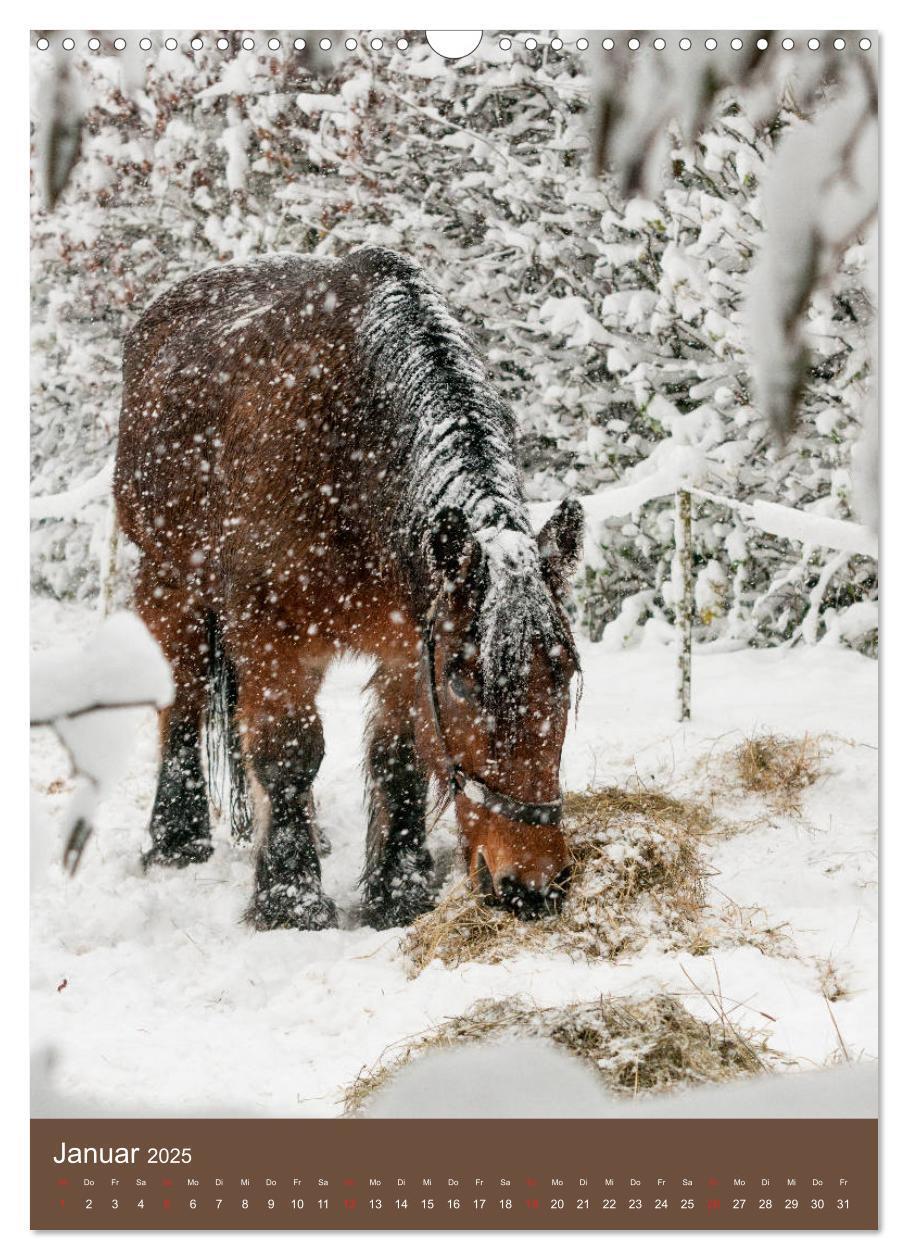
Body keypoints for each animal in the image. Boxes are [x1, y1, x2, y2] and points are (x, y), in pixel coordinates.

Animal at [115, 248, 581, 937]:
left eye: (565, 673)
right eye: (464, 680)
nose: (533, 885)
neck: (353, 443)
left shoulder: (407, 641)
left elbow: (399, 758)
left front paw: (398, 890)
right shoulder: (268, 630)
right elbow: (288, 751)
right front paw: (290, 899)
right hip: (170, 582)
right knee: (185, 698)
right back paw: (176, 838)